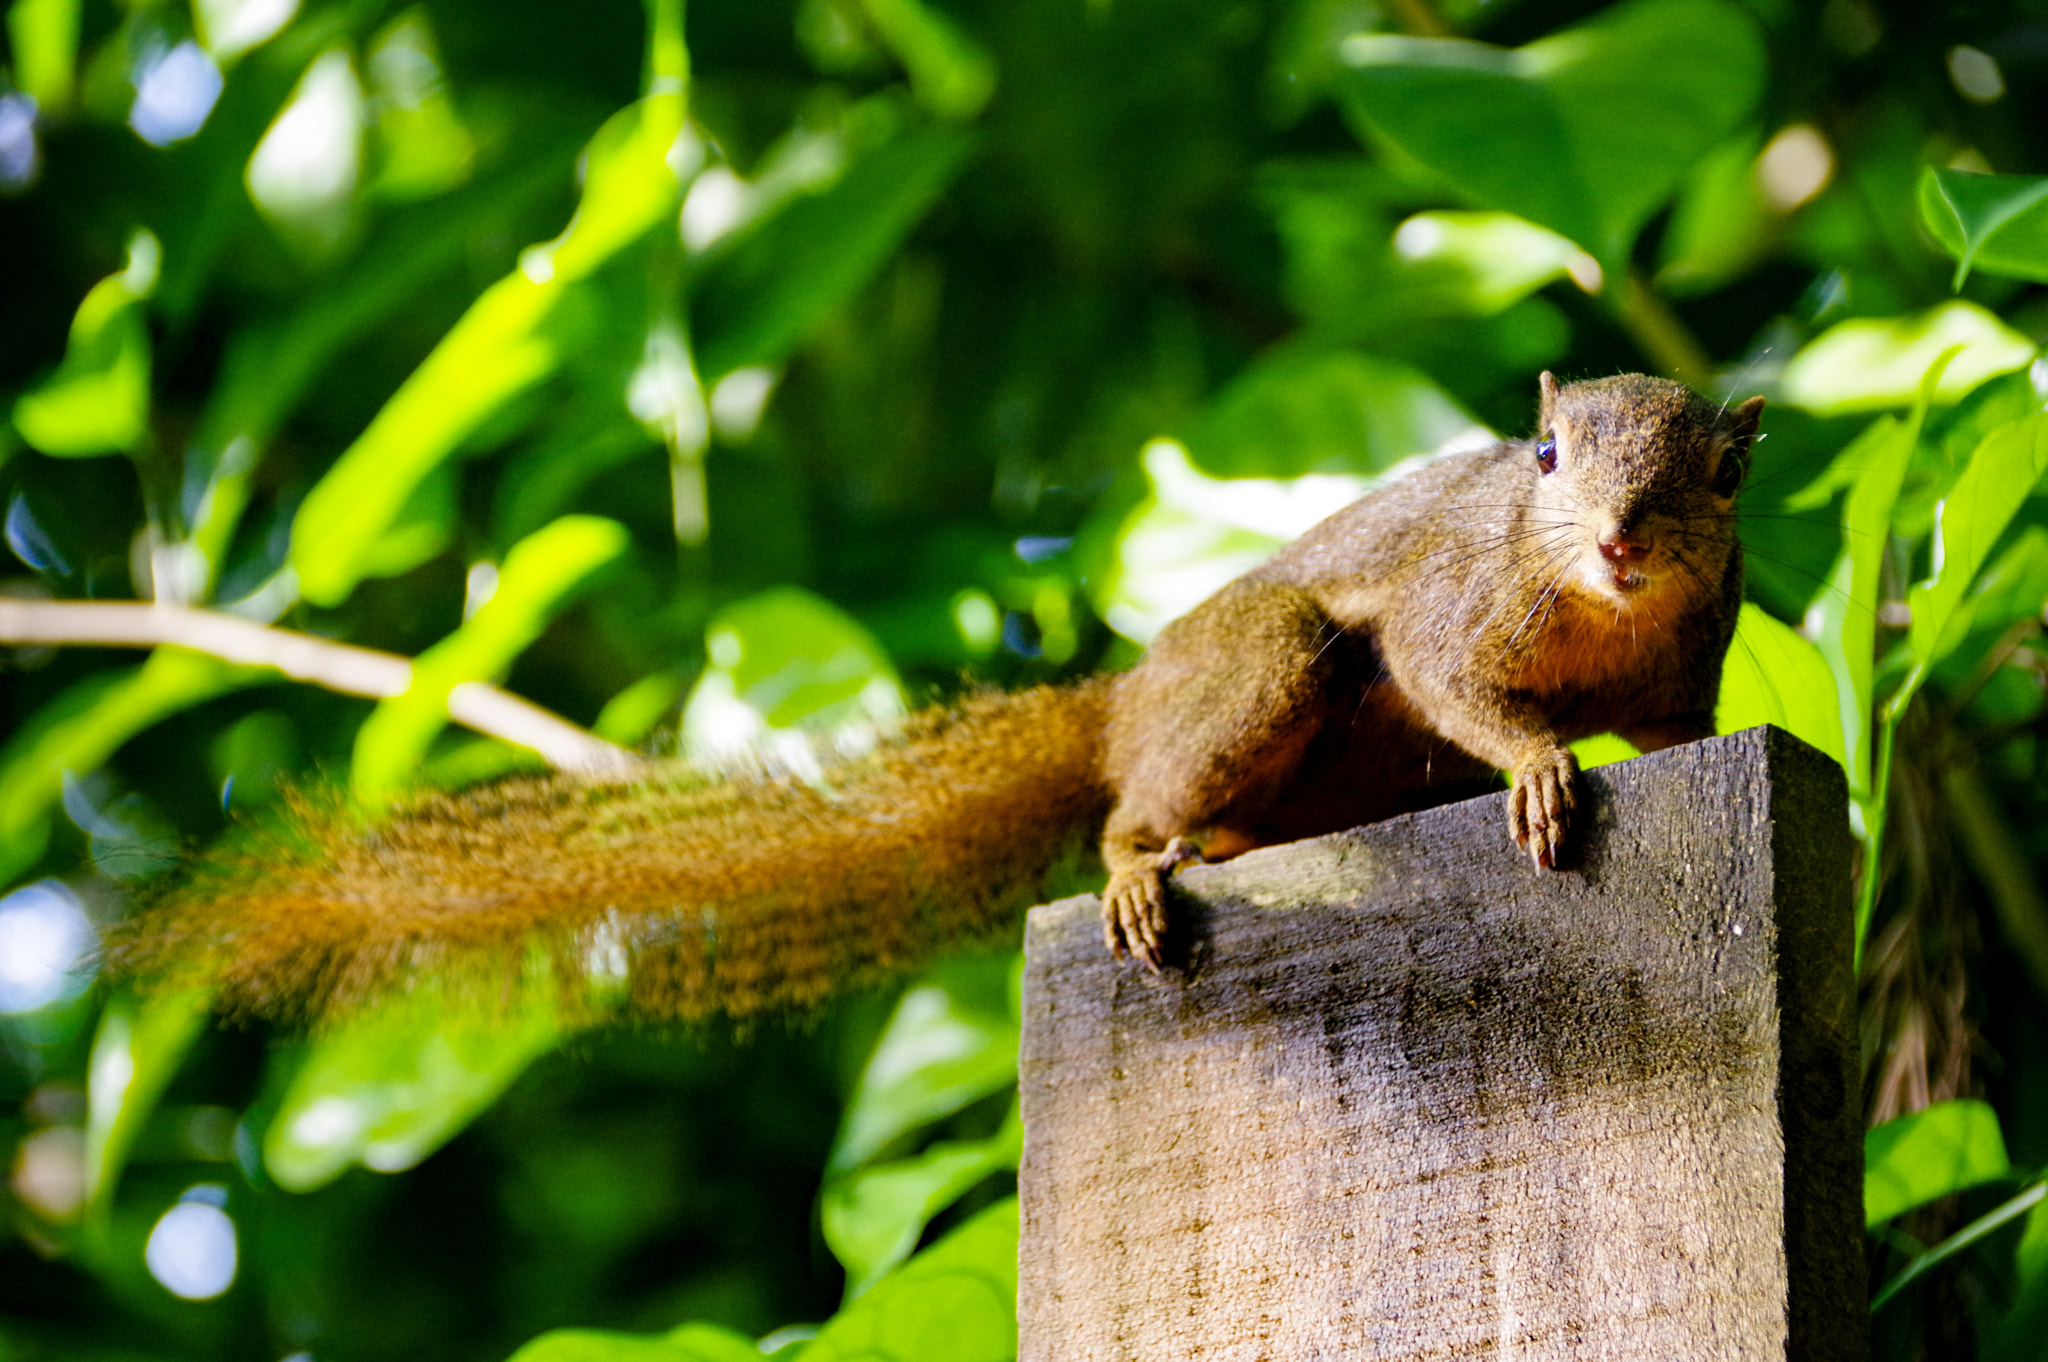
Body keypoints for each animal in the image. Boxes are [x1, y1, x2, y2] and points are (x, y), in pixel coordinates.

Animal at [108, 371, 1764, 1022]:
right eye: (1545, 457)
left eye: (1718, 475)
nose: (1617, 540)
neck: (1603, 621)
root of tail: (1123, 698)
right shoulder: (1455, 607)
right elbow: (1452, 681)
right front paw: (1538, 765)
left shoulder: (1683, 669)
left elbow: (1688, 734)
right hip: (1264, 670)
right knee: (1138, 806)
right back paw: (1135, 864)